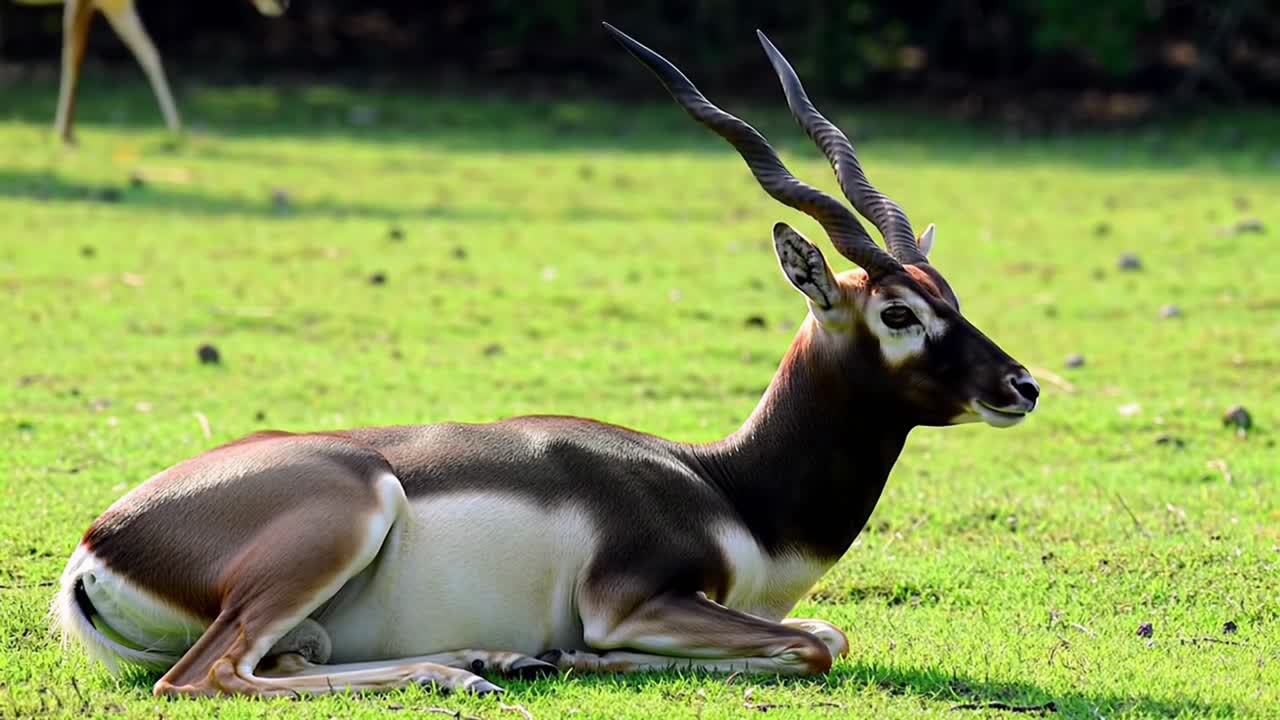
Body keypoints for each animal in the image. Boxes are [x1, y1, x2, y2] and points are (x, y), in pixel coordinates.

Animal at [52, 24, 1040, 698]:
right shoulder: (632, 598)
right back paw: (471, 670)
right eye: (899, 312)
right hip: (343, 519)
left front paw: (546, 654)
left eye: (952, 297)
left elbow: (821, 634)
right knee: (202, 677)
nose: (1020, 385)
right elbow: (816, 642)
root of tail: (97, 546)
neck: (731, 490)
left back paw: (486, 657)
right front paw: (574, 654)